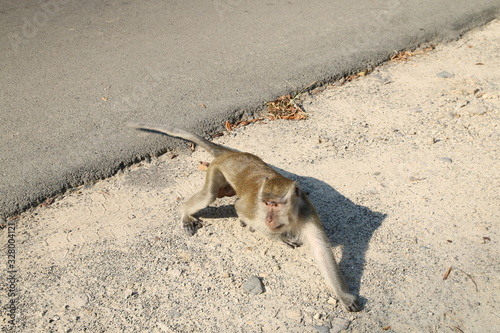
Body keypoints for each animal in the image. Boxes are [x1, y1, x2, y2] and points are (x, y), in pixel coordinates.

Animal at [128, 122, 360, 312]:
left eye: (276, 204)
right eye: (266, 203)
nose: (269, 219)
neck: (292, 217)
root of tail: (233, 155)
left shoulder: (308, 212)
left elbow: (321, 251)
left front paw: (344, 296)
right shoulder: (254, 210)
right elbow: (239, 208)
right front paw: (280, 238)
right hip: (215, 170)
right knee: (210, 196)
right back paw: (186, 212)